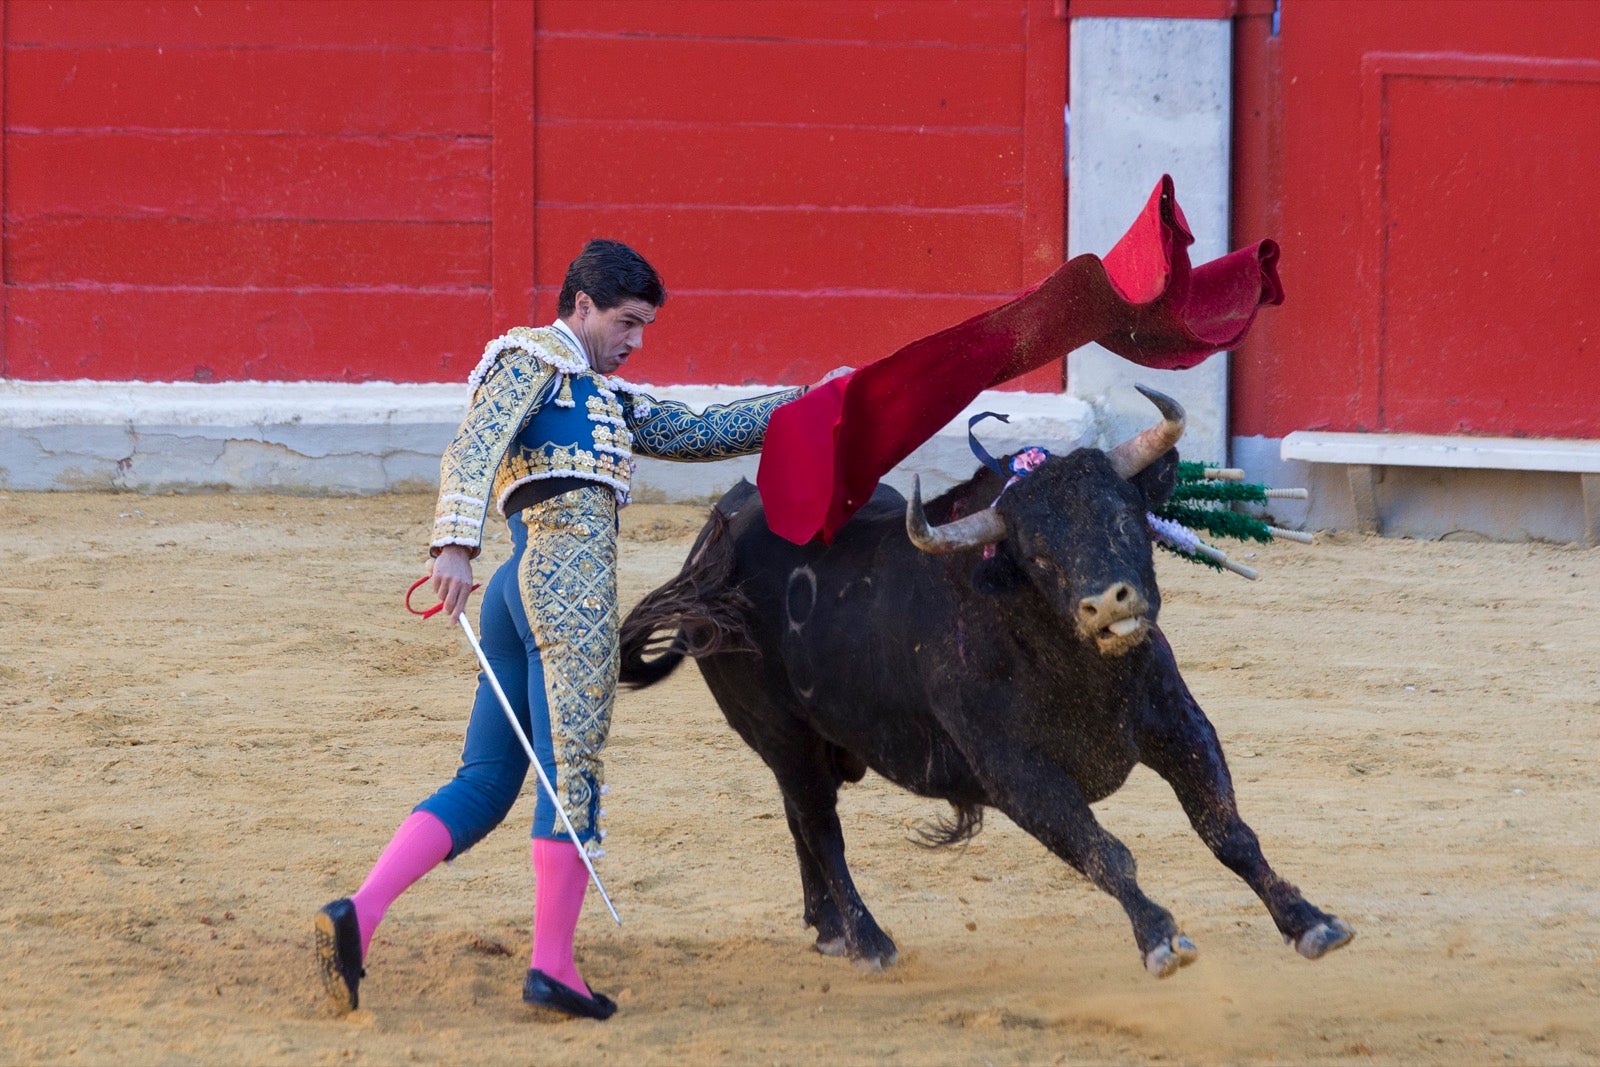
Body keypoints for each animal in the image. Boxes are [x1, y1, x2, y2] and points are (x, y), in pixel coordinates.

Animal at [617, 388, 1356, 979]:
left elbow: (1226, 829)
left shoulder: (1178, 724)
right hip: (780, 734)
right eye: (1038, 555)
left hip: (806, 746)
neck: (1072, 664)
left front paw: (1311, 921)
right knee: (821, 829)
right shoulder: (1016, 773)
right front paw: (1161, 939)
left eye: (1123, 516)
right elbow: (1105, 852)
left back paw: (830, 931)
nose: (1105, 605)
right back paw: (869, 941)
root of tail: (711, 547)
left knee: (803, 821)